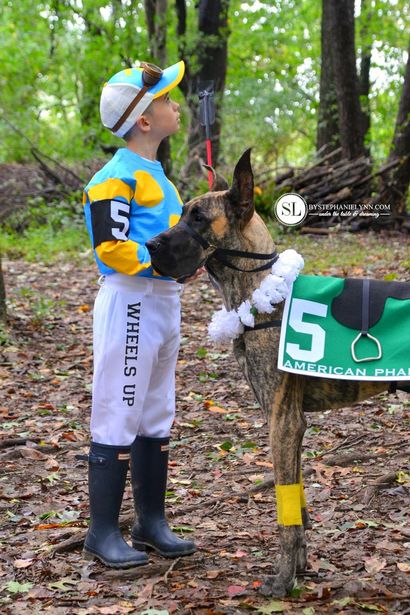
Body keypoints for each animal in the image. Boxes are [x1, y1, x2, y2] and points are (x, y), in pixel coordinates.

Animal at [145, 148, 406, 596]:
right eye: (181, 214)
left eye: (198, 217)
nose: (148, 244)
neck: (261, 289)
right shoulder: (285, 421)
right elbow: (296, 501)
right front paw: (299, 568)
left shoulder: (283, 422)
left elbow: (284, 509)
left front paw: (283, 580)